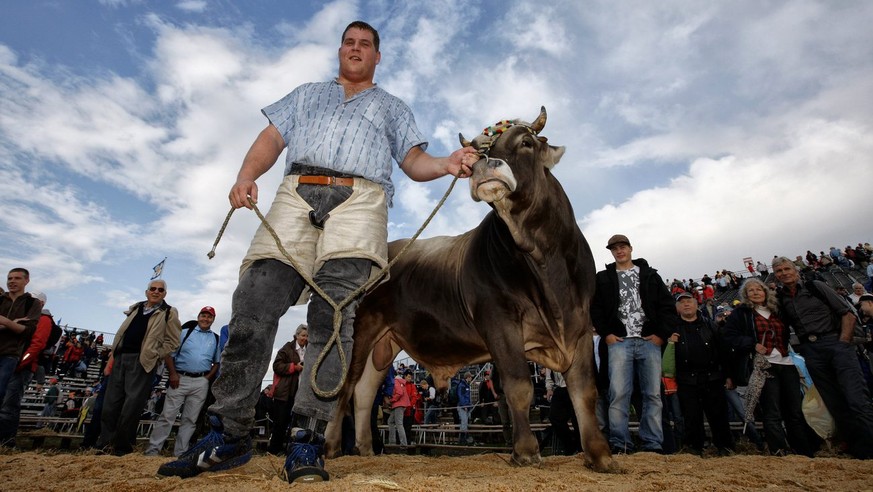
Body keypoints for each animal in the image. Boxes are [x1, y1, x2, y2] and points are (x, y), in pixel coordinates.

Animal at [324, 108, 616, 472]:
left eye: (527, 142)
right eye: (478, 153)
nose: (484, 165)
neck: (547, 263)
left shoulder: (580, 322)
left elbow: (585, 391)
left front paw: (600, 455)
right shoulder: (499, 319)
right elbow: (519, 386)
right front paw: (525, 451)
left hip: (385, 343)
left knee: (364, 392)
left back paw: (365, 450)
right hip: (361, 330)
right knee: (346, 387)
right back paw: (332, 446)